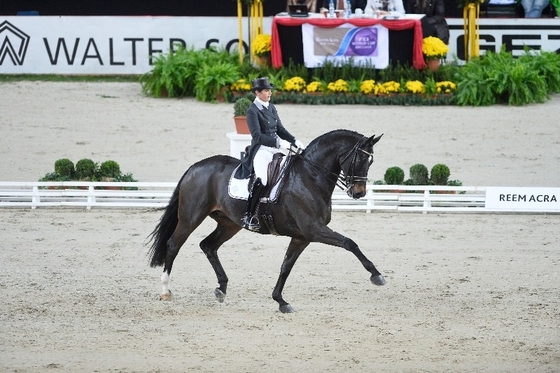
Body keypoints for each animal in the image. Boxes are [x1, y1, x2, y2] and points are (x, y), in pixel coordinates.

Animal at [148, 128, 384, 310]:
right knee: (173, 244)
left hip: (229, 223)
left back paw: (221, 289)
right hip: (191, 217)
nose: (359, 193)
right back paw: (166, 290)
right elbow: (349, 243)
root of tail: (195, 166)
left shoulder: (302, 237)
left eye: (371, 160)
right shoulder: (314, 229)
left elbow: (286, 266)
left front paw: (280, 301)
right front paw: (376, 275)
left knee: (208, 245)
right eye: (361, 158)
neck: (310, 177)